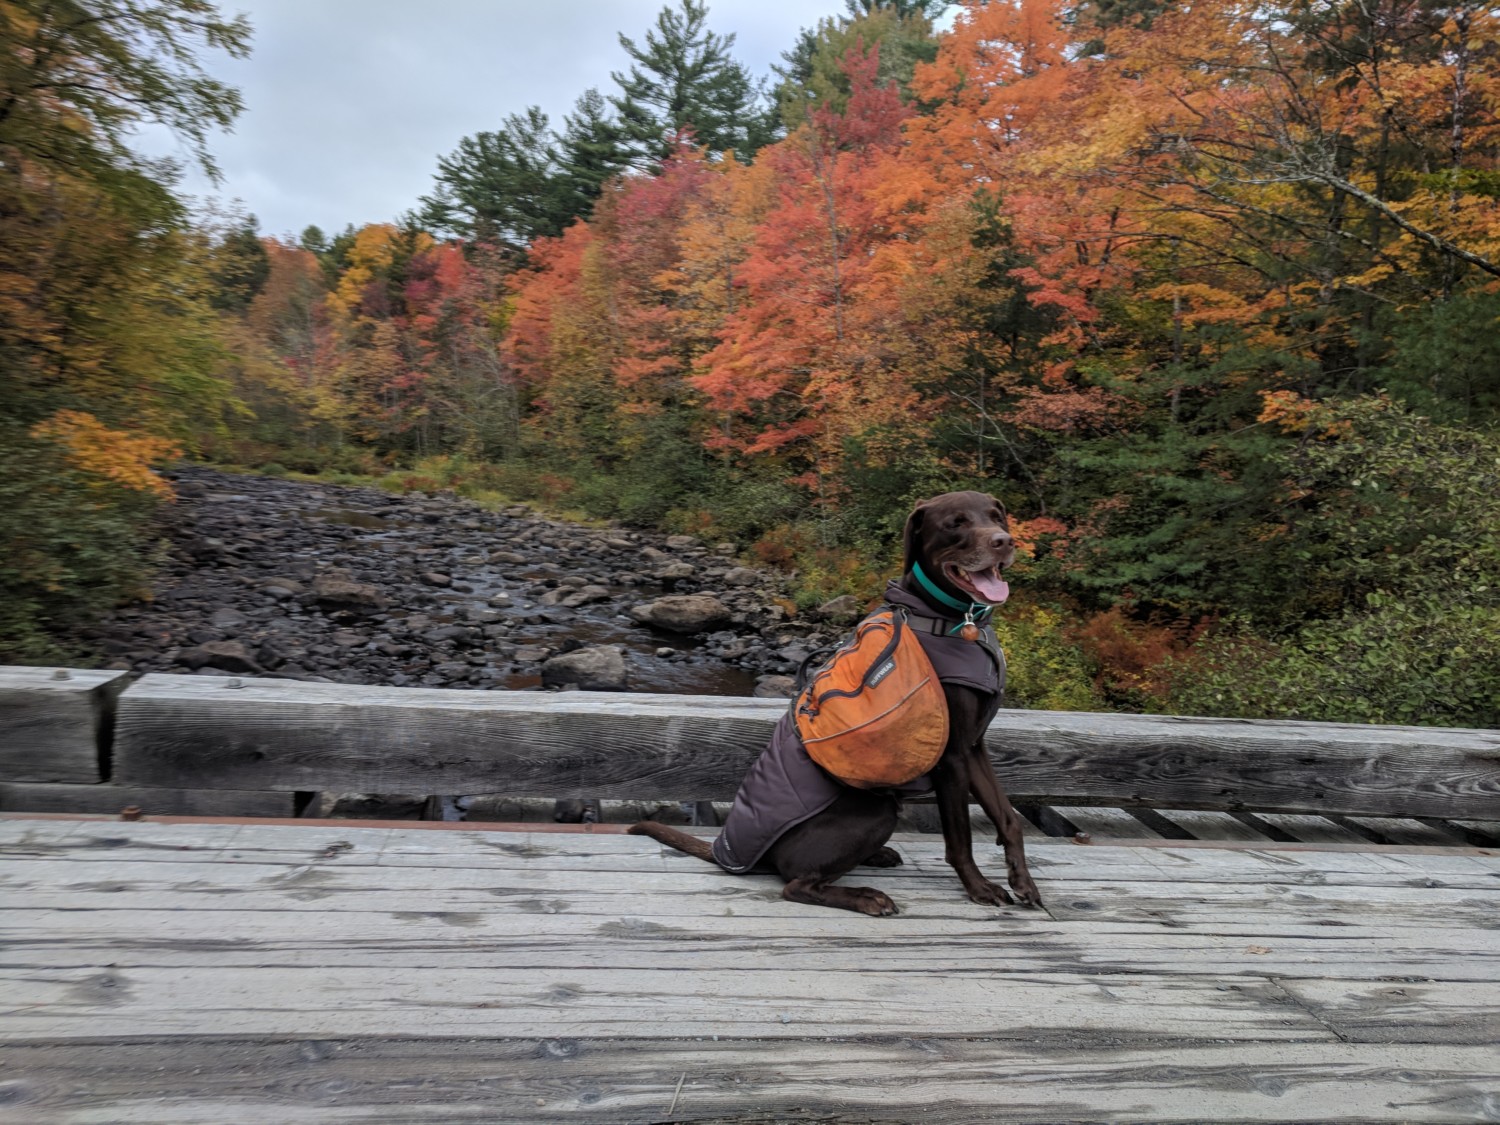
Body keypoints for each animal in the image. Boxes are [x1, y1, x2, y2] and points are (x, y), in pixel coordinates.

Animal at [627, 492, 1038, 918]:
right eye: (955, 523)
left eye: (997, 517)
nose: (1004, 542)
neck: (952, 621)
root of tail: (735, 851)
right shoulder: (952, 756)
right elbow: (959, 838)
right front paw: (979, 887)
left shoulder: (975, 747)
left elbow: (1008, 818)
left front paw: (1023, 882)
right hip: (874, 811)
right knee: (796, 884)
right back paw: (866, 896)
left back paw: (877, 858)